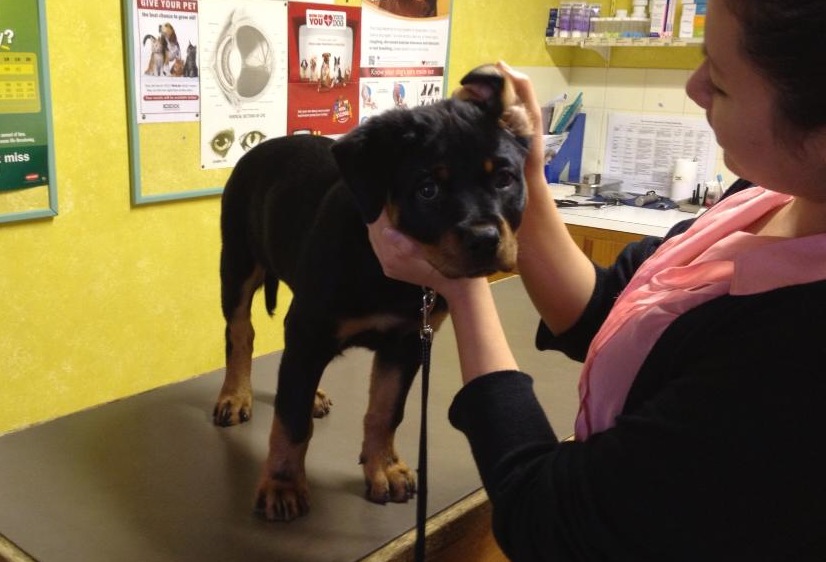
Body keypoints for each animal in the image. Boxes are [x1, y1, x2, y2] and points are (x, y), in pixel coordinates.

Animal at [216, 63, 532, 520]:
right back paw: (235, 395)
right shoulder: (311, 330)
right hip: (238, 263)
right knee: (241, 334)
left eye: (505, 180)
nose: (485, 239)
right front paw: (282, 484)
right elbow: (291, 421)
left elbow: (386, 410)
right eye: (427, 189)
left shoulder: (407, 342)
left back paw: (314, 395)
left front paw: (383, 468)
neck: (389, 277)